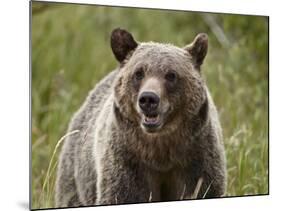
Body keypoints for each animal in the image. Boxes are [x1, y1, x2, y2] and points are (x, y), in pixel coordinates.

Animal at [54, 28, 225, 208]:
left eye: (171, 75)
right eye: (138, 73)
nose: (148, 98)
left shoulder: (196, 159)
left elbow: (202, 189)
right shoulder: (128, 161)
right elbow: (122, 194)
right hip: (76, 171)